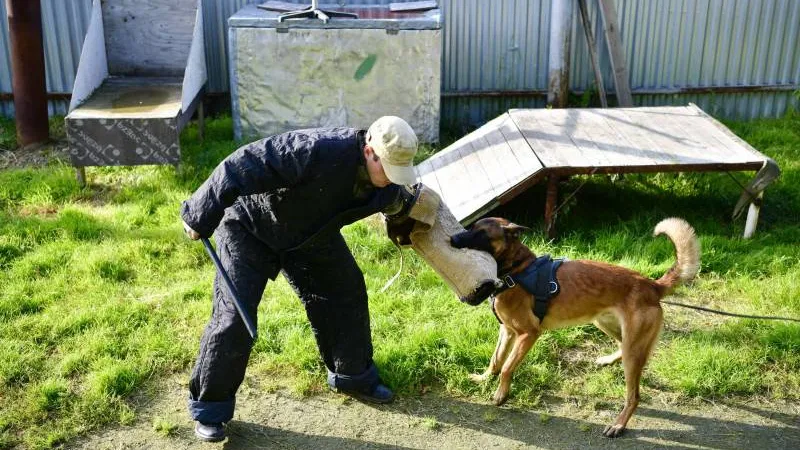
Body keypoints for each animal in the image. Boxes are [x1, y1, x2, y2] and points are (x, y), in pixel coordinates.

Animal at [450, 217, 700, 436]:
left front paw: (501, 394)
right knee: (621, 347)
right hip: (607, 325)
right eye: (472, 228)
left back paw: (618, 424)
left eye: (481, 233)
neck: (517, 269)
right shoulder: (507, 331)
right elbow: (496, 360)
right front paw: (484, 378)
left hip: (633, 349)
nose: (452, 238)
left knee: (634, 396)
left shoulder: (528, 334)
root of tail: (652, 285)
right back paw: (608, 360)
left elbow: (506, 367)